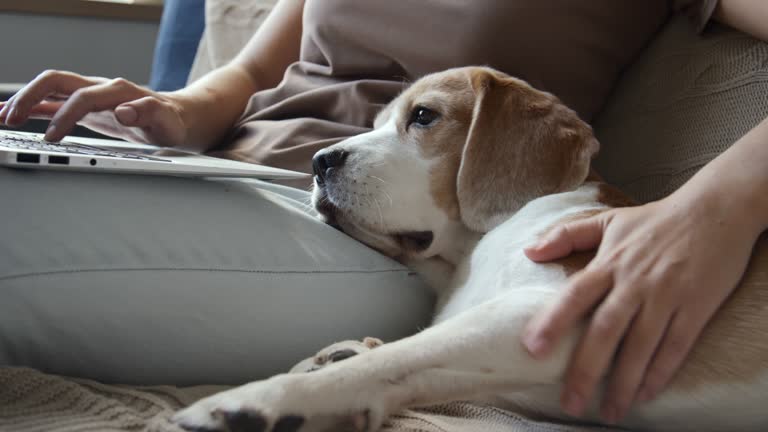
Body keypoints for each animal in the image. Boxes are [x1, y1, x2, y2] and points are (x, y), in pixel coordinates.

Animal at [174, 66, 768, 432]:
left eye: (424, 116)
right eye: (377, 123)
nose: (319, 162)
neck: (471, 252)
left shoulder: (547, 314)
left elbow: (398, 354)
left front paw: (263, 399)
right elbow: (405, 366)